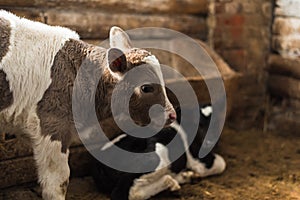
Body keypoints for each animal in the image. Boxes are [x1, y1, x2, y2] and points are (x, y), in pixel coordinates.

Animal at [91, 104, 225, 200]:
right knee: (127, 192)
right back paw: (170, 182)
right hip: (157, 157)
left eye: (217, 123)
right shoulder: (197, 159)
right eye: (199, 124)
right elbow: (221, 164)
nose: (209, 142)